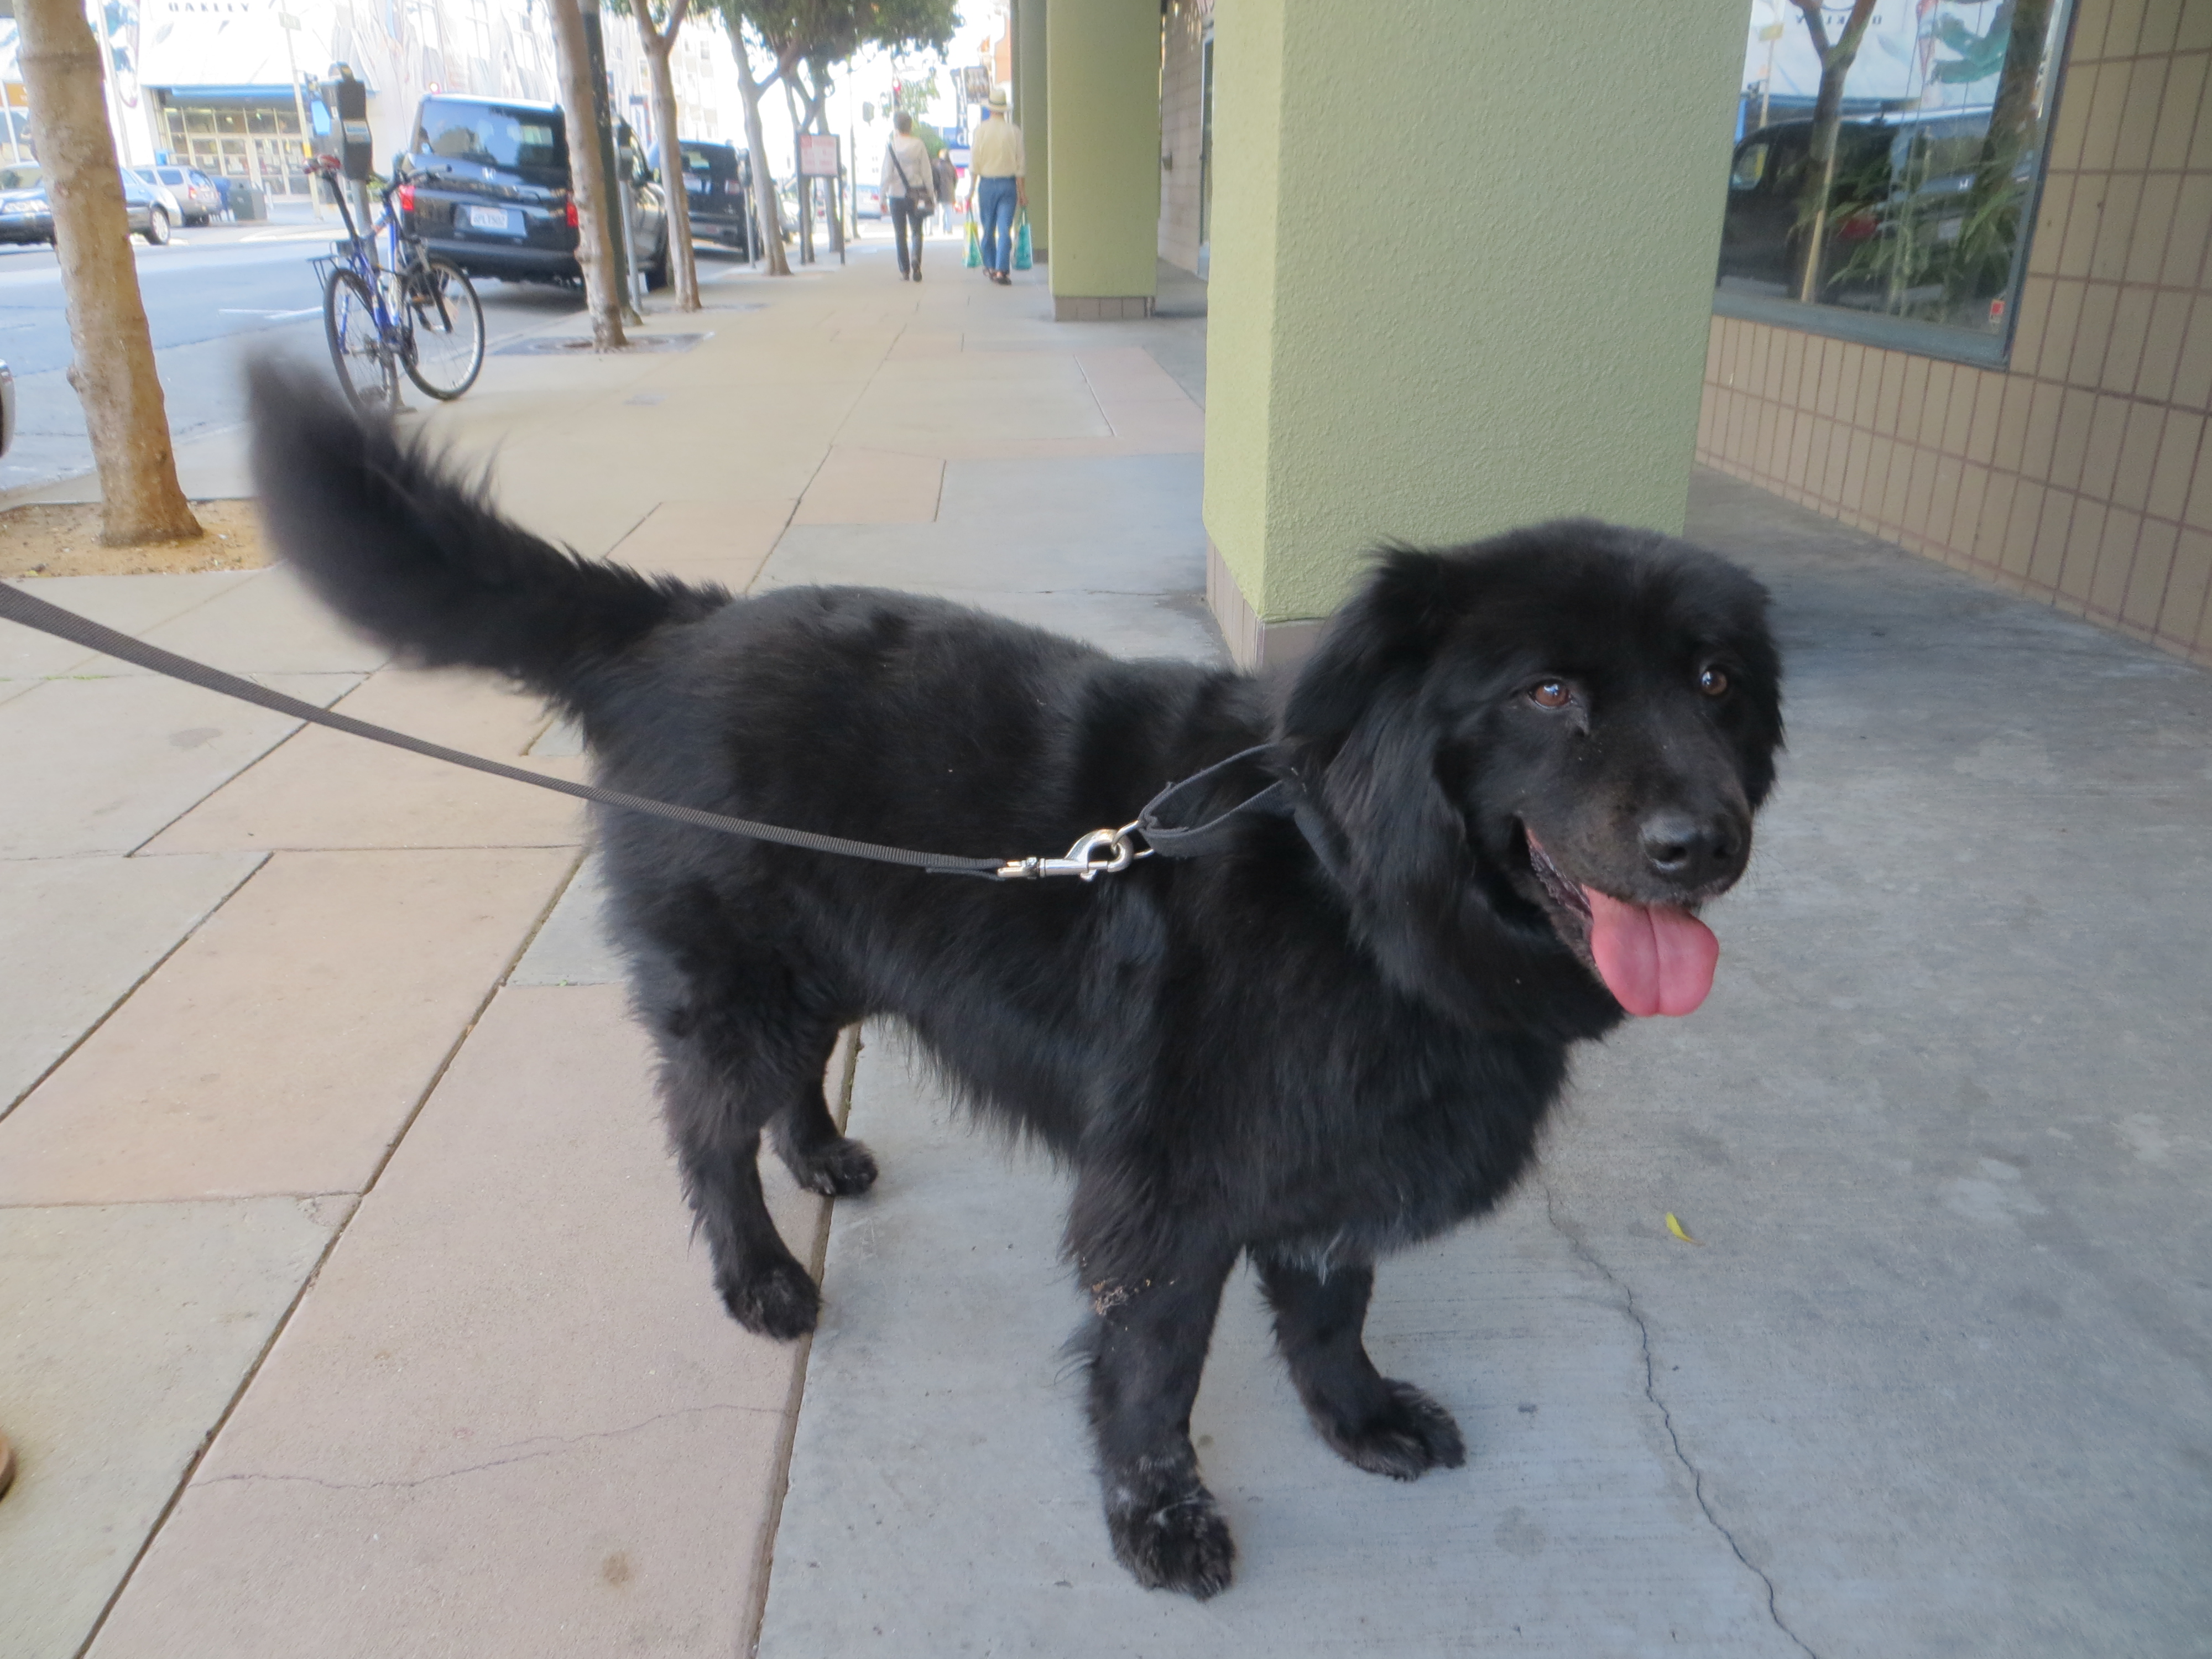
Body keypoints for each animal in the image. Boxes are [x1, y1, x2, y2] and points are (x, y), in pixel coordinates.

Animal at [254, 363, 1778, 1601]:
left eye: (1714, 682)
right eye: (1547, 693)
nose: (1702, 844)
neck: (1354, 896)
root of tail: (670, 628)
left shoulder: (1326, 1161)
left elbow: (1332, 1309)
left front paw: (1356, 1418)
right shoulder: (1171, 1193)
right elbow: (1154, 1374)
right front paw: (1159, 1519)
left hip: (829, 964)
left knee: (791, 1082)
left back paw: (823, 1158)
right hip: (740, 991)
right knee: (702, 1131)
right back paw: (759, 1272)